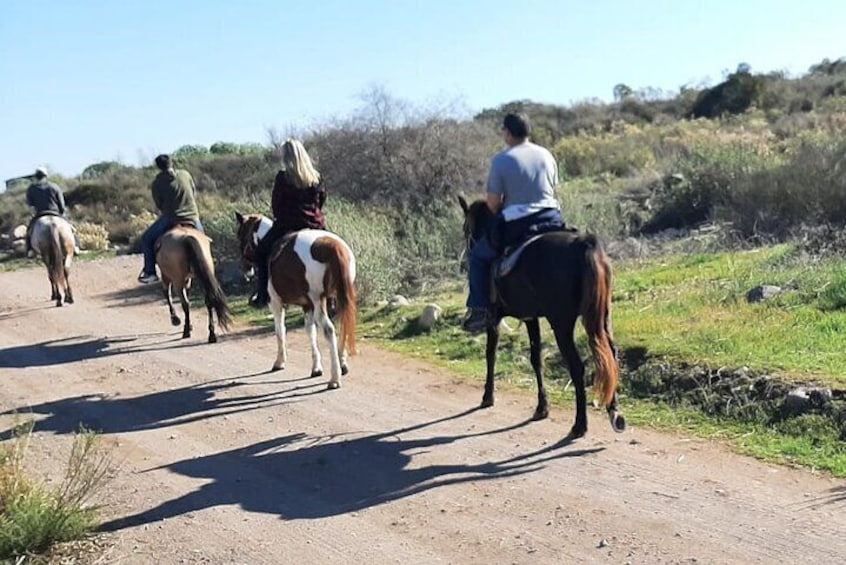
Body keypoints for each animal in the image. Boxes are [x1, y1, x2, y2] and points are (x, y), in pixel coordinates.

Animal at [235, 212, 358, 388]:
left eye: (240, 236)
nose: (246, 269)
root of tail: (333, 247)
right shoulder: (307, 305)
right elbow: (310, 331)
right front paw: (316, 367)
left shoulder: (276, 303)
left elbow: (280, 330)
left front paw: (279, 361)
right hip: (337, 298)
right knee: (343, 325)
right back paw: (342, 364)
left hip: (319, 299)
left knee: (329, 330)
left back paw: (335, 377)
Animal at [460, 196, 628, 438]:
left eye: (466, 229)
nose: (464, 262)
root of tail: (583, 244)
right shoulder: (531, 317)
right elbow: (536, 359)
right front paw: (542, 407)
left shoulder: (494, 317)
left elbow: (491, 354)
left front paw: (488, 396)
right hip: (603, 317)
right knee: (610, 356)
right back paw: (615, 413)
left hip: (561, 324)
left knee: (577, 367)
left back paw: (580, 424)